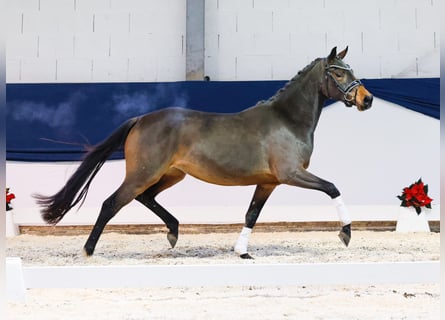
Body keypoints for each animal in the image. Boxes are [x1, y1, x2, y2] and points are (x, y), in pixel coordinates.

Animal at [36, 46, 372, 258]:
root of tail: (141, 119)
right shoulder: (291, 174)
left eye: (350, 70)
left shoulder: (268, 182)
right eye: (338, 73)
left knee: (146, 198)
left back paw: (173, 233)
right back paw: (88, 250)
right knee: (112, 203)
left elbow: (251, 214)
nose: (366, 99)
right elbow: (332, 188)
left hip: (172, 175)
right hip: (143, 174)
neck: (286, 120)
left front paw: (242, 252)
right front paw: (345, 234)